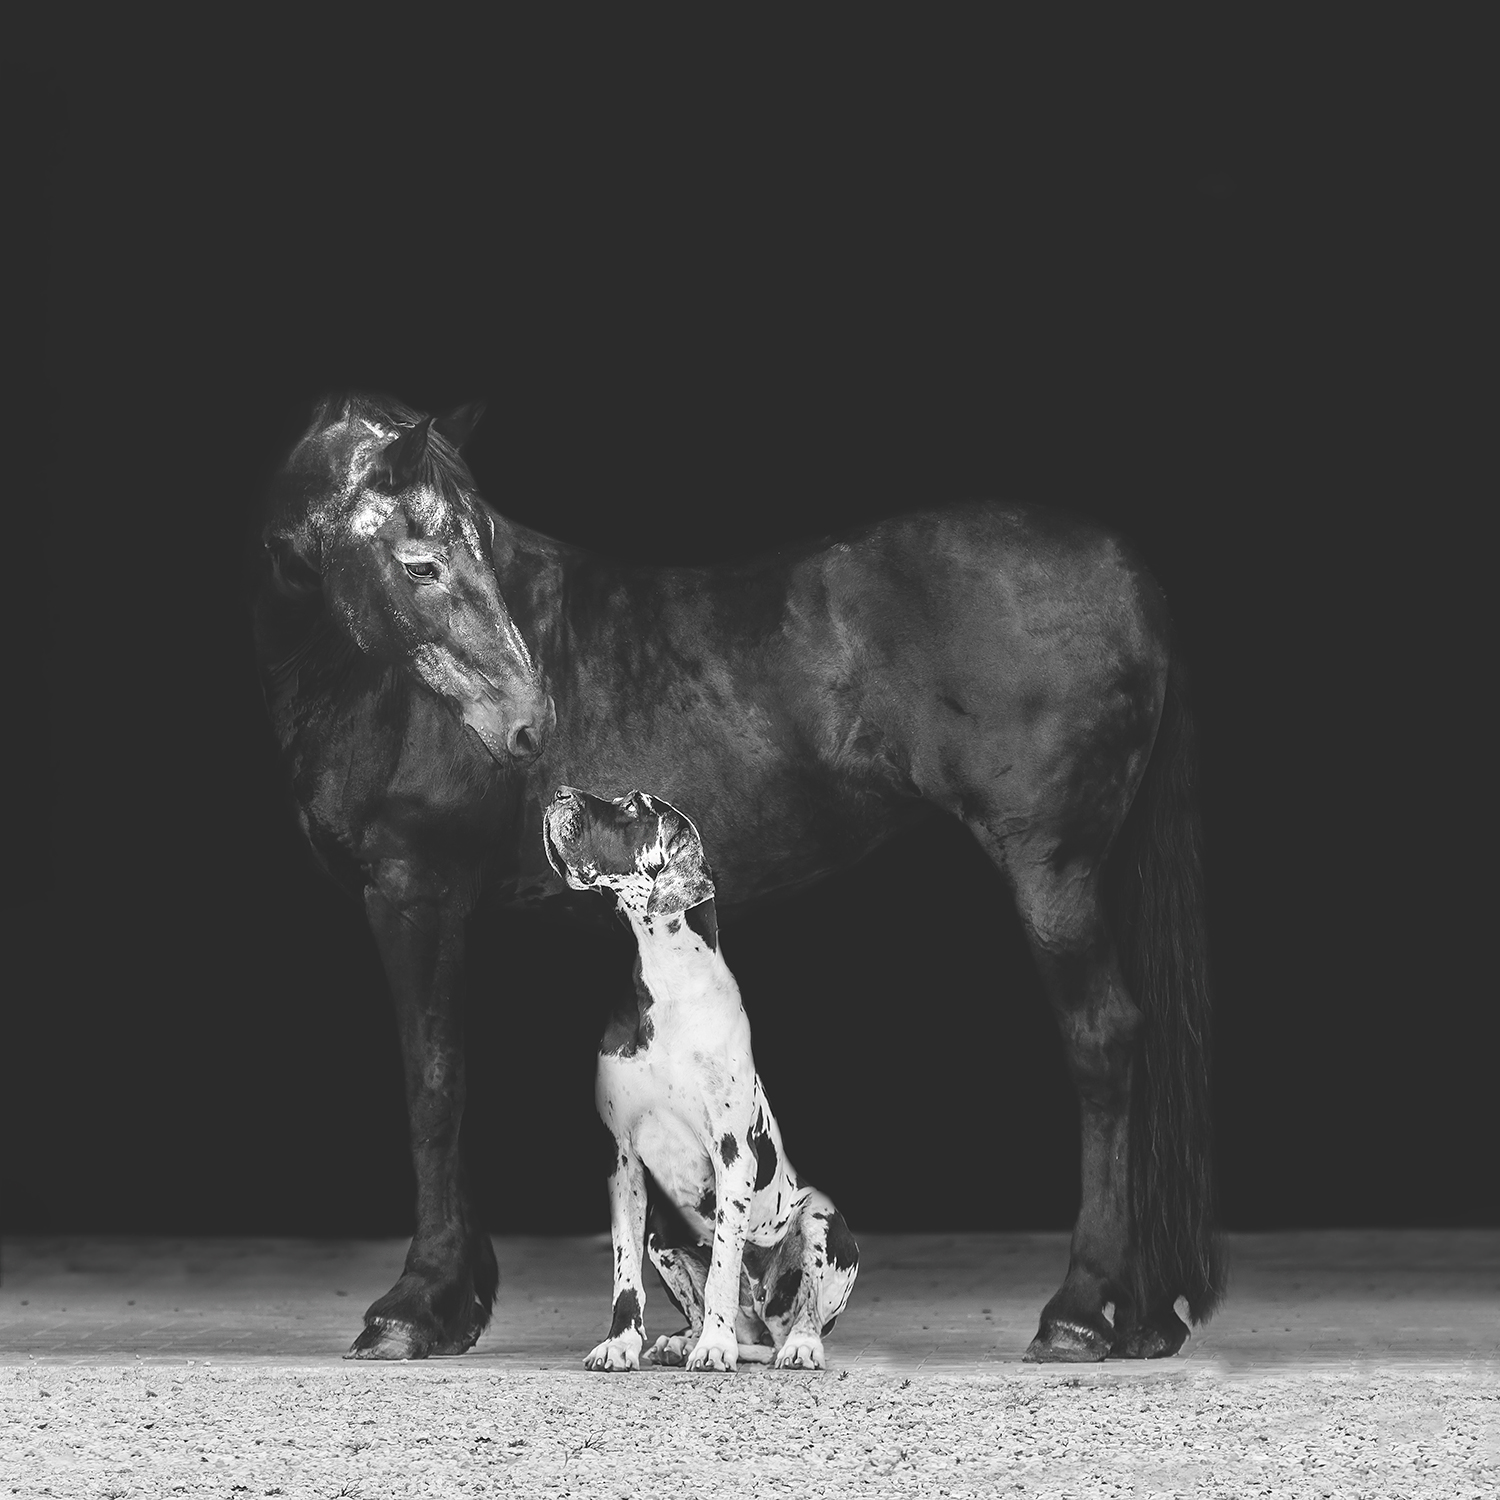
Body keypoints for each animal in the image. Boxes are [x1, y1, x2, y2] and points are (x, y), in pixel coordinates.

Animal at [543, 785, 859, 1372]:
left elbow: (722, 1270)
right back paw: (683, 1339)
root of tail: (763, 1329)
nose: (560, 792)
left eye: (633, 807)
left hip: (820, 1216)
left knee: (801, 1308)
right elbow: (624, 1273)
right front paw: (622, 1343)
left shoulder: (732, 1154)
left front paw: (715, 1346)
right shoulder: (620, 1158)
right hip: (663, 1235)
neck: (669, 983)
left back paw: (793, 1344)